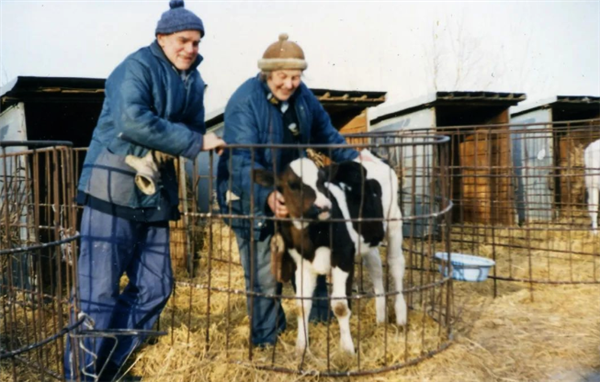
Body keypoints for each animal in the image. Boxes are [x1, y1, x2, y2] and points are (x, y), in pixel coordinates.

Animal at [253, 151, 408, 354]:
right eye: (292, 185)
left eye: (321, 180)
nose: (324, 206)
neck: (311, 236)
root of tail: (369, 154)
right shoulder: (302, 264)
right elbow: (302, 305)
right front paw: (301, 347)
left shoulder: (342, 257)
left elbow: (340, 306)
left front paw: (348, 349)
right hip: (368, 237)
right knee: (375, 267)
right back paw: (381, 318)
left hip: (394, 221)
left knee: (396, 264)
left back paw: (401, 317)